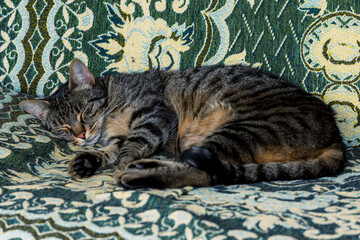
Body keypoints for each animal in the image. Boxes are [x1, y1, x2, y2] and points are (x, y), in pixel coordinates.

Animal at [19, 59, 346, 188]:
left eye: (84, 113)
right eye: (62, 128)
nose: (80, 135)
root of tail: (336, 136)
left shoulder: (156, 116)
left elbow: (131, 146)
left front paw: (122, 163)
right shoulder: (114, 138)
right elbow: (108, 151)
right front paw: (86, 160)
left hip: (241, 129)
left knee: (205, 174)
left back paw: (136, 174)